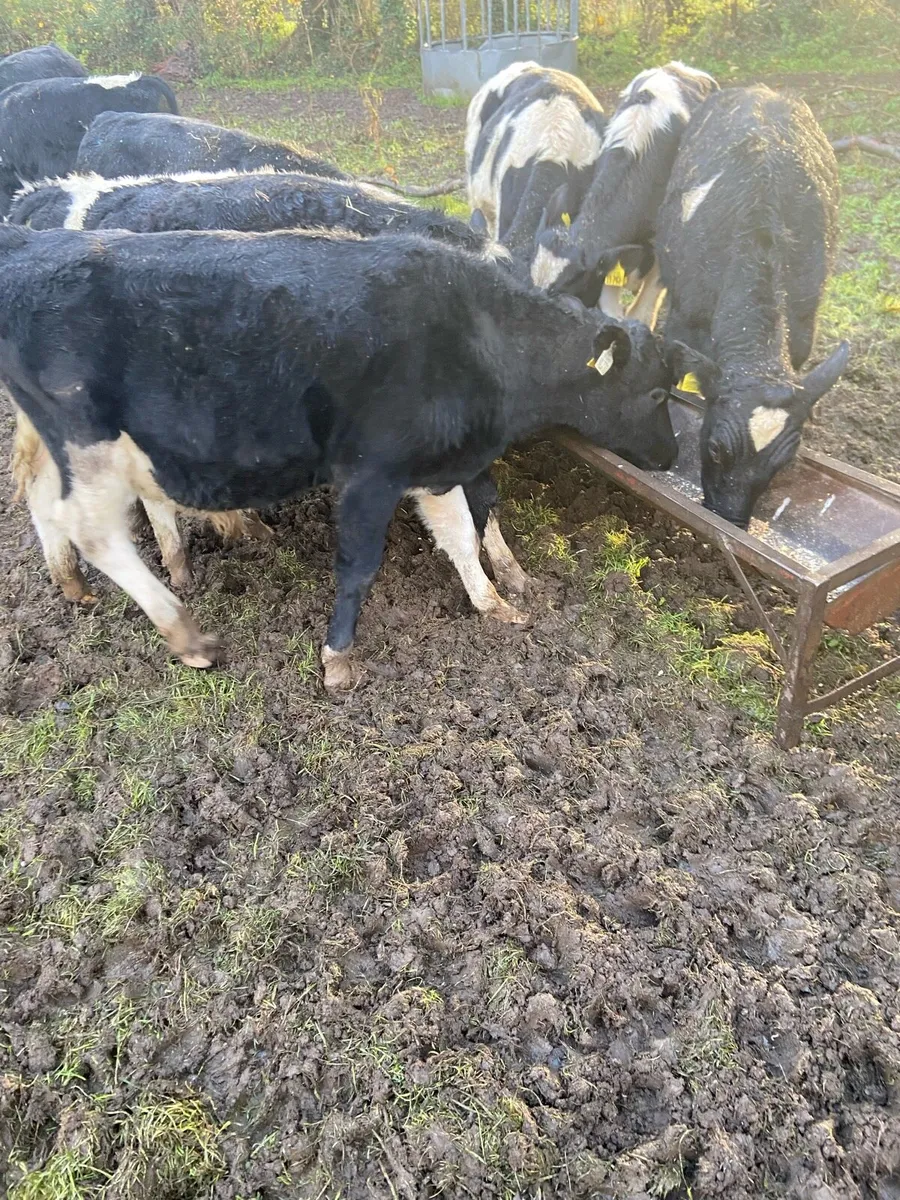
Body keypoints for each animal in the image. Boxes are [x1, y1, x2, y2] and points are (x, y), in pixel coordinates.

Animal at [0, 225, 678, 688]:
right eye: (655, 392)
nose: (672, 453)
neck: (481, 335)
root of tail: (32, 248)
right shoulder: (370, 473)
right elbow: (359, 566)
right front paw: (338, 657)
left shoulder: (433, 469)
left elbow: (461, 536)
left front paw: (494, 603)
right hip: (89, 435)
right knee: (92, 527)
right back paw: (184, 630)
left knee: (46, 502)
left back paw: (80, 584)